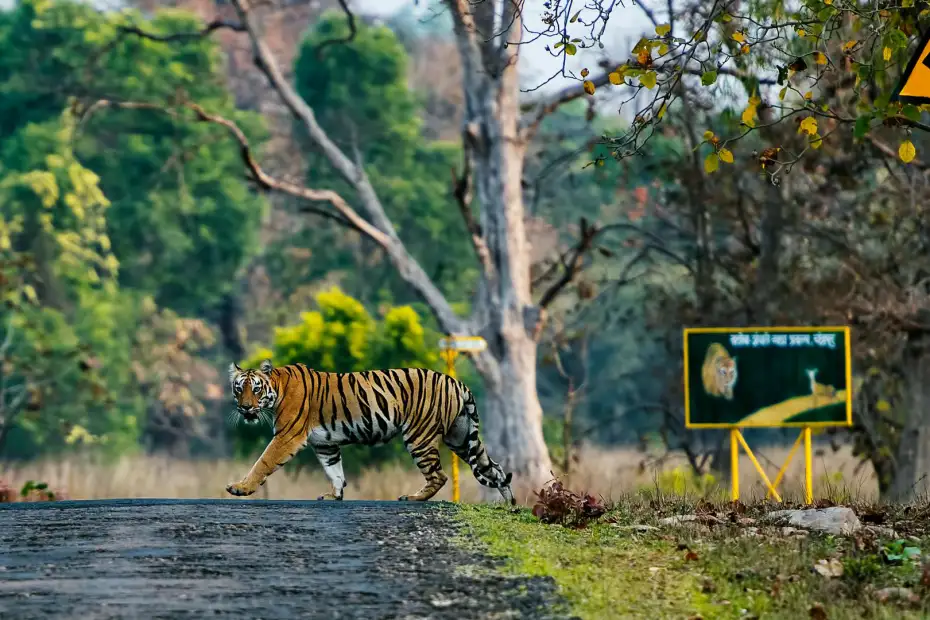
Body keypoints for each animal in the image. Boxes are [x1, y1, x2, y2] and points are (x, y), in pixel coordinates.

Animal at [225, 359, 516, 505]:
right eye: (239, 389)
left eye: (256, 389)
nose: (245, 408)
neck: (277, 389)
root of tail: (456, 382)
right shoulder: (325, 444)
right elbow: (335, 471)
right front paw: (335, 495)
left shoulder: (287, 436)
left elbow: (263, 462)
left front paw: (240, 487)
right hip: (461, 437)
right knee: (495, 468)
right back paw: (509, 503)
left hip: (419, 437)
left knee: (439, 475)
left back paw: (413, 497)